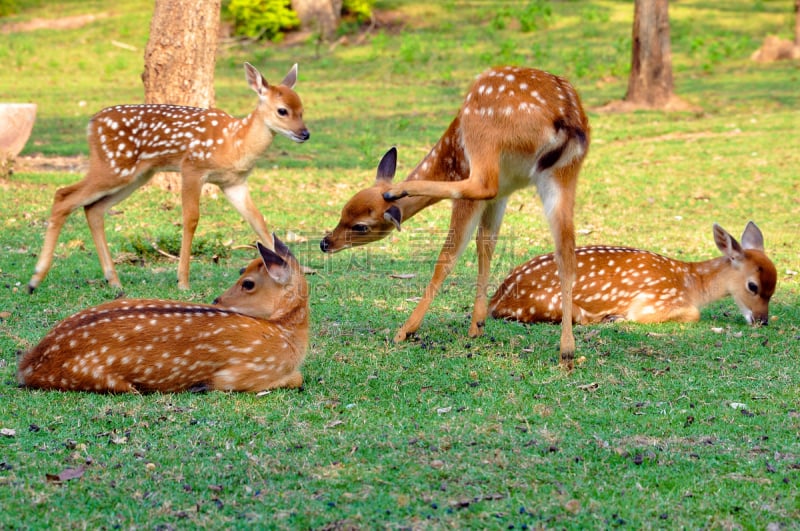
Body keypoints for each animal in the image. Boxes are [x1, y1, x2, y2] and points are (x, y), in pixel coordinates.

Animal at [16, 235, 310, 392]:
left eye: (247, 282)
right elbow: (297, 378)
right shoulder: (244, 373)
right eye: (242, 274)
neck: (286, 335)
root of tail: (28, 365)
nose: (216, 300)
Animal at [28, 64, 310, 296]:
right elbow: (191, 219)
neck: (236, 143)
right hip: (113, 165)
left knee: (93, 209)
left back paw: (114, 281)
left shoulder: (234, 183)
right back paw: (35, 279)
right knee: (63, 195)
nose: (305, 133)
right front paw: (182, 281)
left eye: (302, 109)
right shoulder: (192, 167)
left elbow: (258, 221)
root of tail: (91, 125)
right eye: (282, 110)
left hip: (136, 175)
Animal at [318, 65, 588, 370]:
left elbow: (448, 257)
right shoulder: (503, 195)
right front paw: (477, 325)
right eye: (343, 209)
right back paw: (567, 350)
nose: (325, 243)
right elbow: (486, 245)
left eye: (361, 226)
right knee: (566, 251)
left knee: (480, 184)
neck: (447, 159)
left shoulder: (477, 187)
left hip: (483, 135)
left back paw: (399, 191)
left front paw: (407, 330)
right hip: (563, 174)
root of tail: (566, 118)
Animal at [488, 221, 776, 328]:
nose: (762, 320)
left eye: (773, 290)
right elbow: (693, 313)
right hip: (555, 302)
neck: (692, 282)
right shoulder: (654, 301)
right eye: (753, 286)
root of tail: (496, 299)